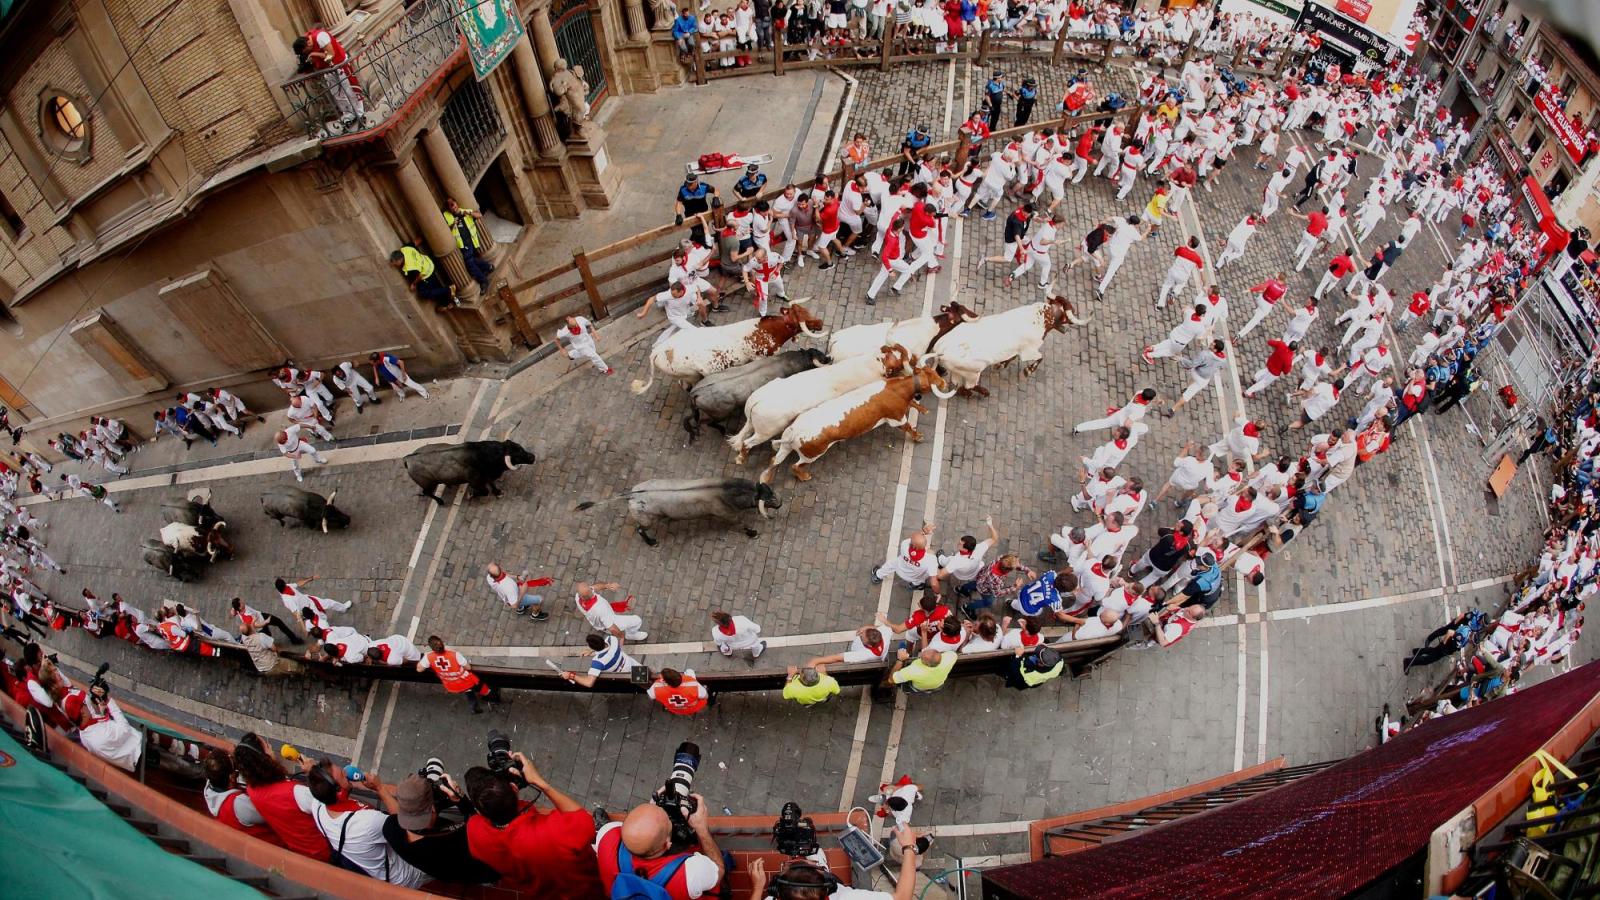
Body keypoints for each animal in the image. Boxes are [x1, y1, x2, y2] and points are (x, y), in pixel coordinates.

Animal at [576, 474, 780, 544]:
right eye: (768, 499)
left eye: (772, 491)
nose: (780, 503)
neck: (726, 491)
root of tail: (631, 495)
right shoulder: (729, 516)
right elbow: (742, 523)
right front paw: (753, 533)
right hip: (648, 519)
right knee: (640, 529)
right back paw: (652, 542)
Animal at [729, 339, 908, 458]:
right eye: (898, 363)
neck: (870, 365)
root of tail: (756, 402)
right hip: (765, 432)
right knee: (748, 442)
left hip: (752, 423)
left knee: (744, 433)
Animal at [934, 294, 1081, 395]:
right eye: (1068, 314)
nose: (1069, 326)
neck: (1042, 316)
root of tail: (941, 349)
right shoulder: (1028, 351)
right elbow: (1039, 358)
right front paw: (1028, 370)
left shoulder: (1016, 350)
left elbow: (1011, 357)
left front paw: (1001, 364)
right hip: (973, 372)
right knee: (969, 385)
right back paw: (983, 393)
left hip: (958, 371)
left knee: (958, 385)